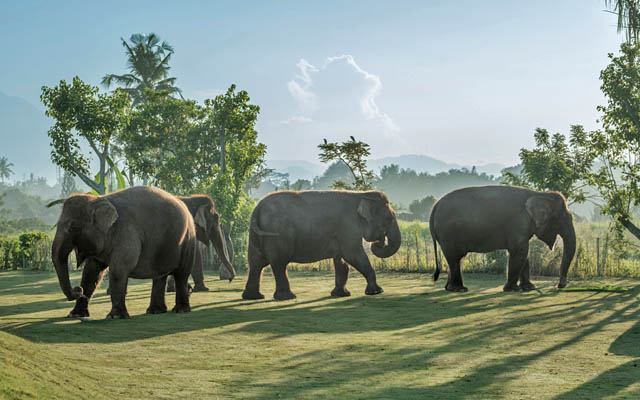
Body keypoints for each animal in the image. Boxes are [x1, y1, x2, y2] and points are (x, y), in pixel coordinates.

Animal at [53, 186, 198, 319]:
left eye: (73, 227)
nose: (78, 290)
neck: (100, 199)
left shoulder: (127, 232)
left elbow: (119, 269)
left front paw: (115, 317)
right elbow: (91, 273)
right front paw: (75, 315)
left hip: (188, 241)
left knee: (182, 274)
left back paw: (180, 310)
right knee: (160, 276)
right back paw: (155, 311)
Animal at [242, 190, 402, 301]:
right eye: (388, 219)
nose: (378, 242)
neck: (361, 195)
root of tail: (257, 209)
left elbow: (341, 261)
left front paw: (341, 294)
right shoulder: (348, 226)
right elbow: (353, 255)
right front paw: (376, 292)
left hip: (255, 236)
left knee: (256, 265)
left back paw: (254, 297)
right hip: (277, 235)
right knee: (279, 263)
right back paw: (287, 297)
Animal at [430, 185, 576, 292]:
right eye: (562, 219)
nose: (560, 285)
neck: (539, 193)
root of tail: (435, 207)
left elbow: (524, 253)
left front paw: (529, 288)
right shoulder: (519, 223)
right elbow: (520, 251)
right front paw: (513, 290)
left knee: (456, 259)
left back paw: (450, 288)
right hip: (448, 234)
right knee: (455, 258)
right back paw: (460, 289)